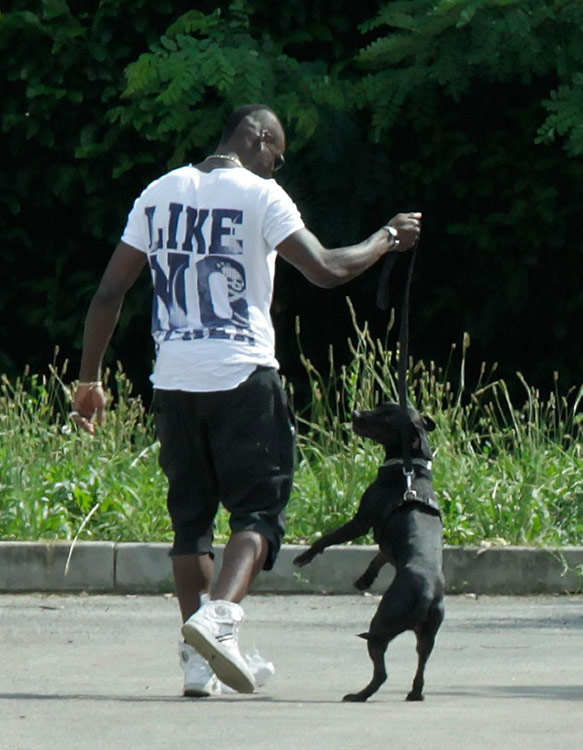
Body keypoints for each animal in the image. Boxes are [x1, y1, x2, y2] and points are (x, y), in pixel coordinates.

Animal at [294, 406, 444, 704]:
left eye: (386, 414)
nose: (355, 413)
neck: (410, 469)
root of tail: (425, 593)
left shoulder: (361, 521)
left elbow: (328, 538)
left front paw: (304, 556)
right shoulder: (383, 541)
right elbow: (379, 556)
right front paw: (365, 579)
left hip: (380, 625)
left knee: (381, 672)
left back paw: (358, 695)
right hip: (428, 634)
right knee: (421, 665)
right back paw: (414, 693)